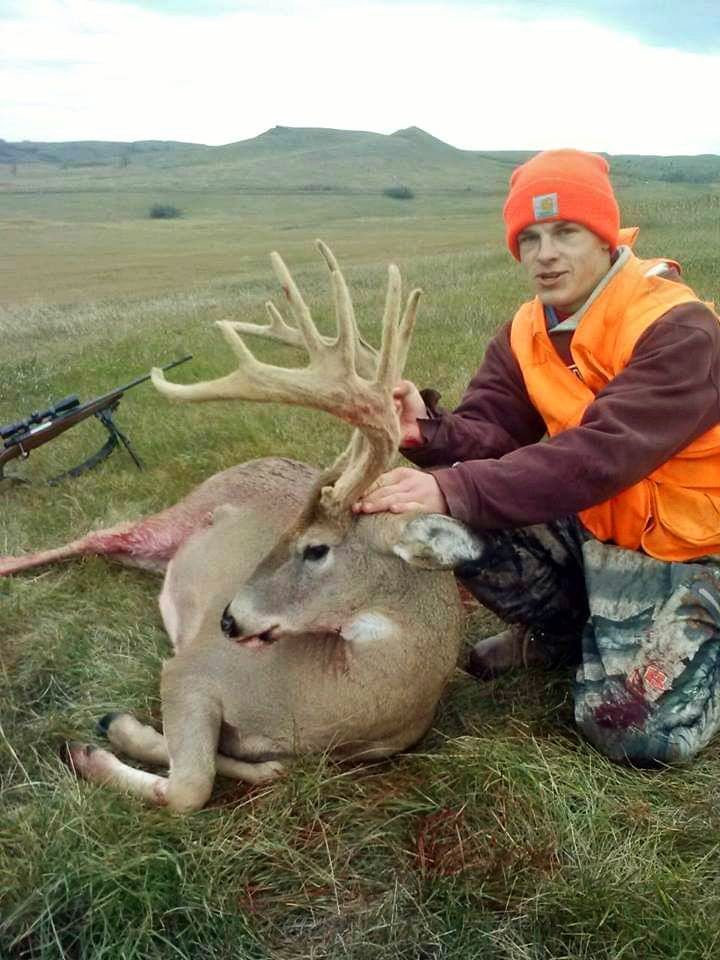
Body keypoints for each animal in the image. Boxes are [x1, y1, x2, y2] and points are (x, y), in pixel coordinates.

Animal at [3, 241, 485, 812]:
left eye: (315, 548)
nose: (228, 620)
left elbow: (253, 770)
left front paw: (120, 731)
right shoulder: (190, 667)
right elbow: (191, 787)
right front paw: (99, 744)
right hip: (180, 513)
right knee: (97, 535)